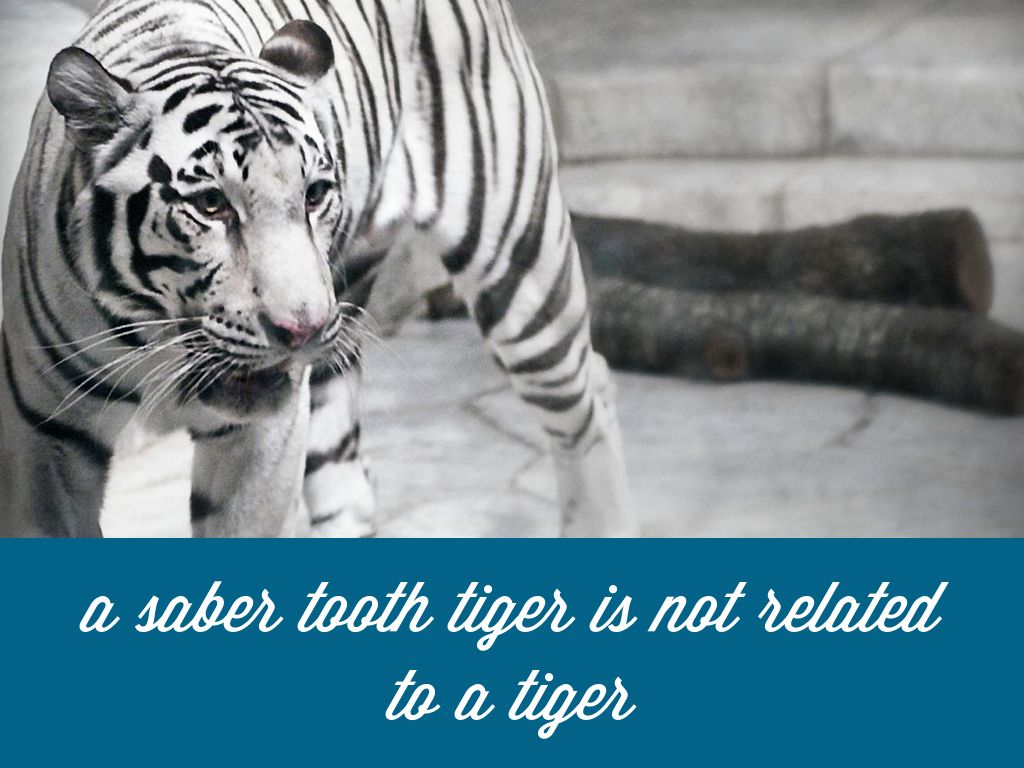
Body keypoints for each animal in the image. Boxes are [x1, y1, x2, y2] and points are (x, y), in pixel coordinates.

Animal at [0, 0, 635, 538]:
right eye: (211, 205)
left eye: (314, 194)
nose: (301, 329)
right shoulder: (44, 438)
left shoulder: (262, 439)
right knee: (349, 480)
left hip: (519, 261)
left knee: (584, 401)